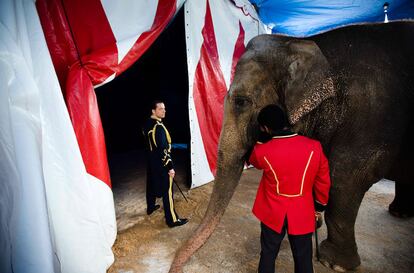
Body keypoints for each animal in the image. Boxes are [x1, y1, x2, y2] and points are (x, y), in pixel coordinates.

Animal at [169, 20, 414, 270]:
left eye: (241, 102)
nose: (174, 267)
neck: (302, 43)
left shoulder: (371, 116)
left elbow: (345, 177)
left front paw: (334, 263)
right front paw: (312, 222)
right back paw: (399, 213)